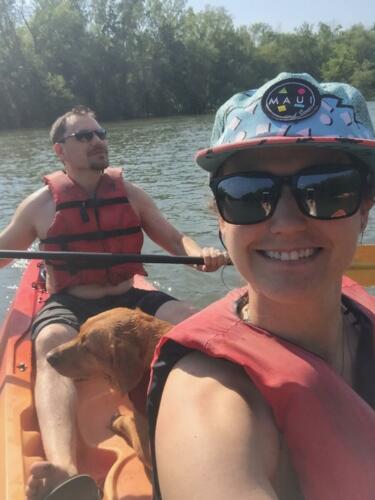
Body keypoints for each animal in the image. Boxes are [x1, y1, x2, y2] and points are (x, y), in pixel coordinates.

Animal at [46, 306, 173, 478]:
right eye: (79, 331)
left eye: (88, 348)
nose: (48, 357)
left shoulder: (146, 450)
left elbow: (127, 422)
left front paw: (118, 420)